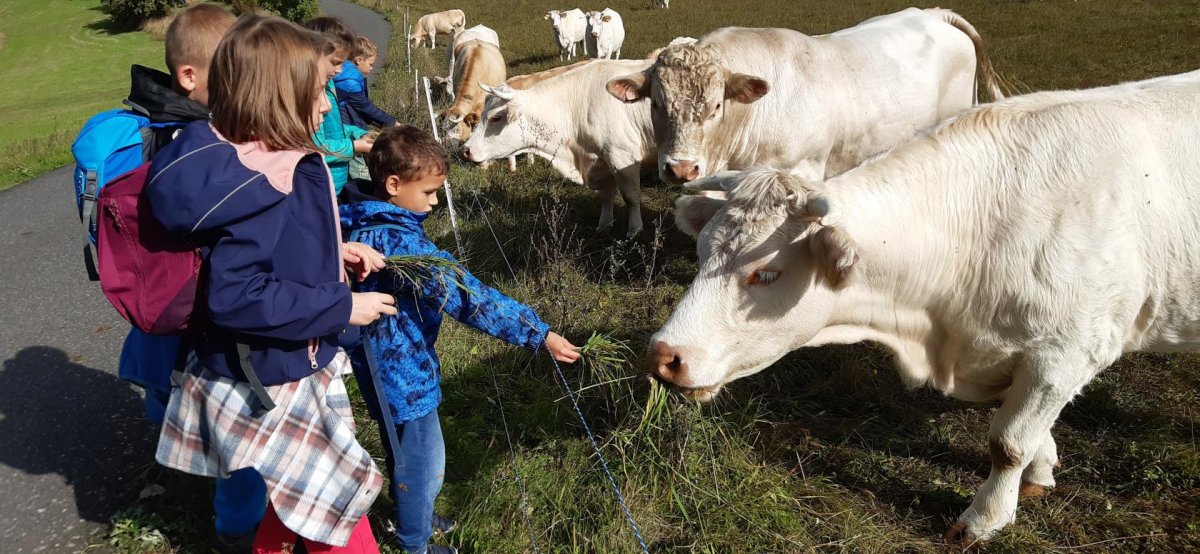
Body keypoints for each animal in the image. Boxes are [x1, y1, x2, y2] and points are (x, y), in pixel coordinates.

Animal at [461, 60, 656, 237]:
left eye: (496, 117)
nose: (466, 150)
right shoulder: (604, 161)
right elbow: (607, 197)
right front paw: (604, 226)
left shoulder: (622, 156)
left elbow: (631, 197)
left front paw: (634, 230)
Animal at [649, 69, 1200, 543]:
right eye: (701, 253)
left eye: (764, 272)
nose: (664, 355)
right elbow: (1031, 431)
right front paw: (1041, 471)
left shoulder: (1069, 351)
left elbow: (1009, 442)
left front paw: (984, 517)